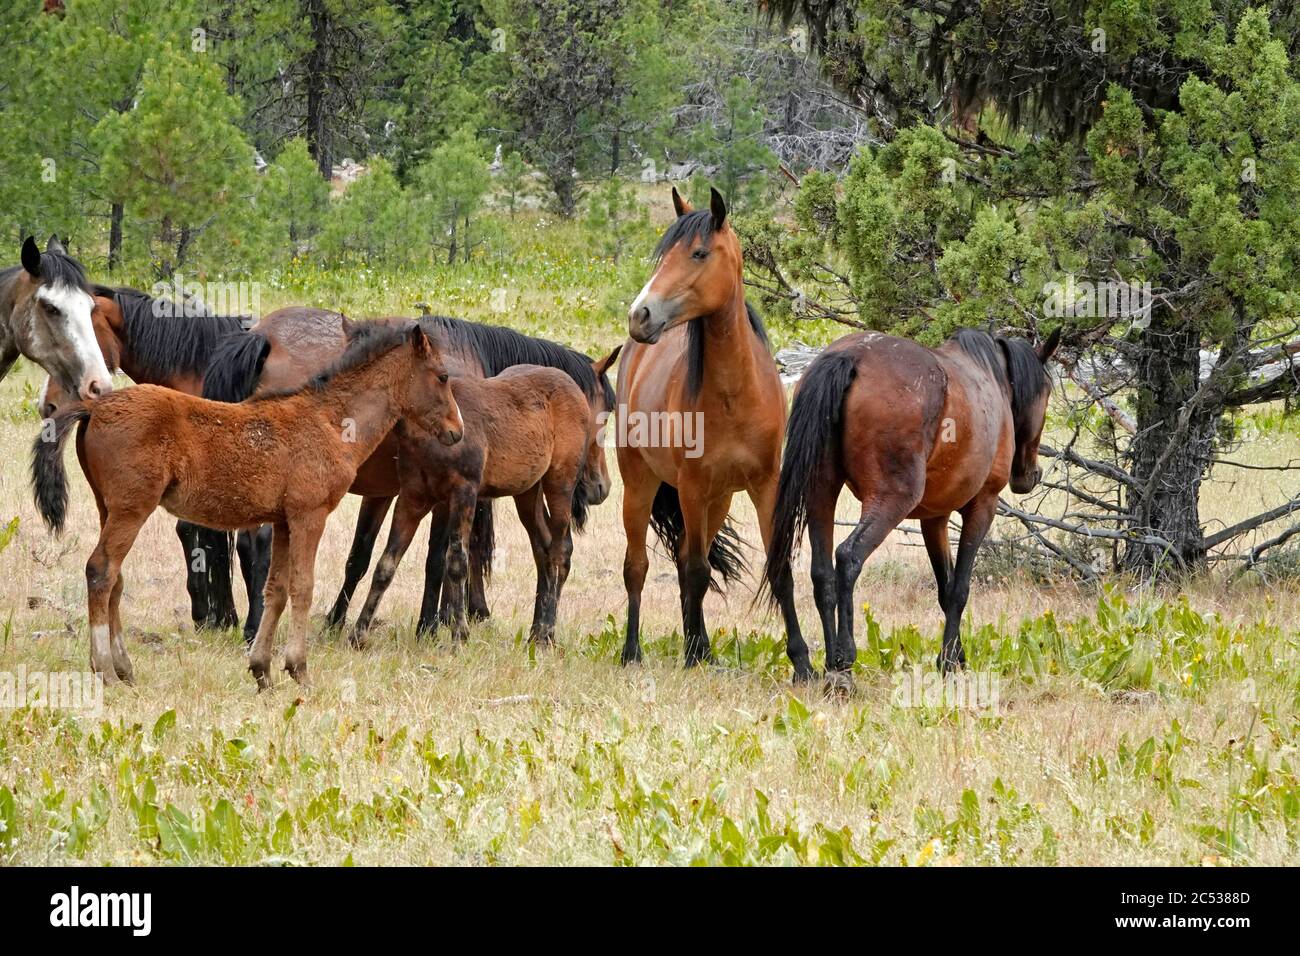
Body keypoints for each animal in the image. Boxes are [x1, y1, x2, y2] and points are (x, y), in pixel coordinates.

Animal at [30, 325, 465, 691]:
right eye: (443, 376)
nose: (456, 431)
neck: (330, 421)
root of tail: (95, 408)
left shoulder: (284, 521)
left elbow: (276, 589)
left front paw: (262, 670)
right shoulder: (309, 515)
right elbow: (303, 587)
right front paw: (299, 669)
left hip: (108, 507)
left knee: (114, 578)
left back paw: (124, 667)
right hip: (131, 508)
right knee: (101, 571)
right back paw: (104, 669)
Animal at [353, 361, 600, 647]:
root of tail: (573, 386)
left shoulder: (464, 493)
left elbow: (456, 562)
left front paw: (459, 635)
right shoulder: (412, 498)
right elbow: (386, 563)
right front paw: (358, 633)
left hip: (560, 483)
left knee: (559, 551)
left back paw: (546, 634)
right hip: (528, 492)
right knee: (543, 548)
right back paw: (537, 632)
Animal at [618, 187, 811, 681]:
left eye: (699, 253)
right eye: (663, 254)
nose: (640, 315)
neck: (733, 395)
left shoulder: (765, 486)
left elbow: (779, 570)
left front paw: (803, 661)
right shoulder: (691, 487)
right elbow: (696, 571)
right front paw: (693, 653)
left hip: (718, 500)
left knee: (686, 559)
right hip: (641, 485)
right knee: (640, 566)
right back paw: (635, 651)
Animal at [759, 329, 1055, 686]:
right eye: (1047, 392)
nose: (1030, 476)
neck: (989, 375)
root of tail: (851, 356)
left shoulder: (934, 519)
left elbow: (945, 589)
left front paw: (956, 656)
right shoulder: (983, 506)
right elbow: (959, 589)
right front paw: (947, 661)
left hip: (821, 493)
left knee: (822, 573)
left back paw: (829, 664)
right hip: (891, 500)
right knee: (848, 557)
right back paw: (844, 660)